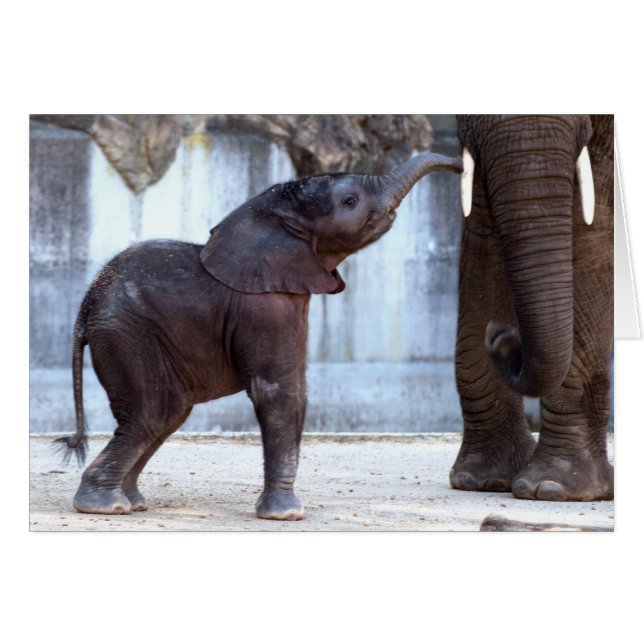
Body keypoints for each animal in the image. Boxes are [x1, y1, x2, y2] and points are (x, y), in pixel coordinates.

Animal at [56, 151, 463, 520]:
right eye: (350, 201)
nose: (462, 167)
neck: (272, 214)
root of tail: (85, 306)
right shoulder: (266, 308)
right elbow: (280, 390)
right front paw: (287, 516)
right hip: (127, 335)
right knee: (155, 413)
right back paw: (104, 506)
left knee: (168, 415)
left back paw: (132, 502)